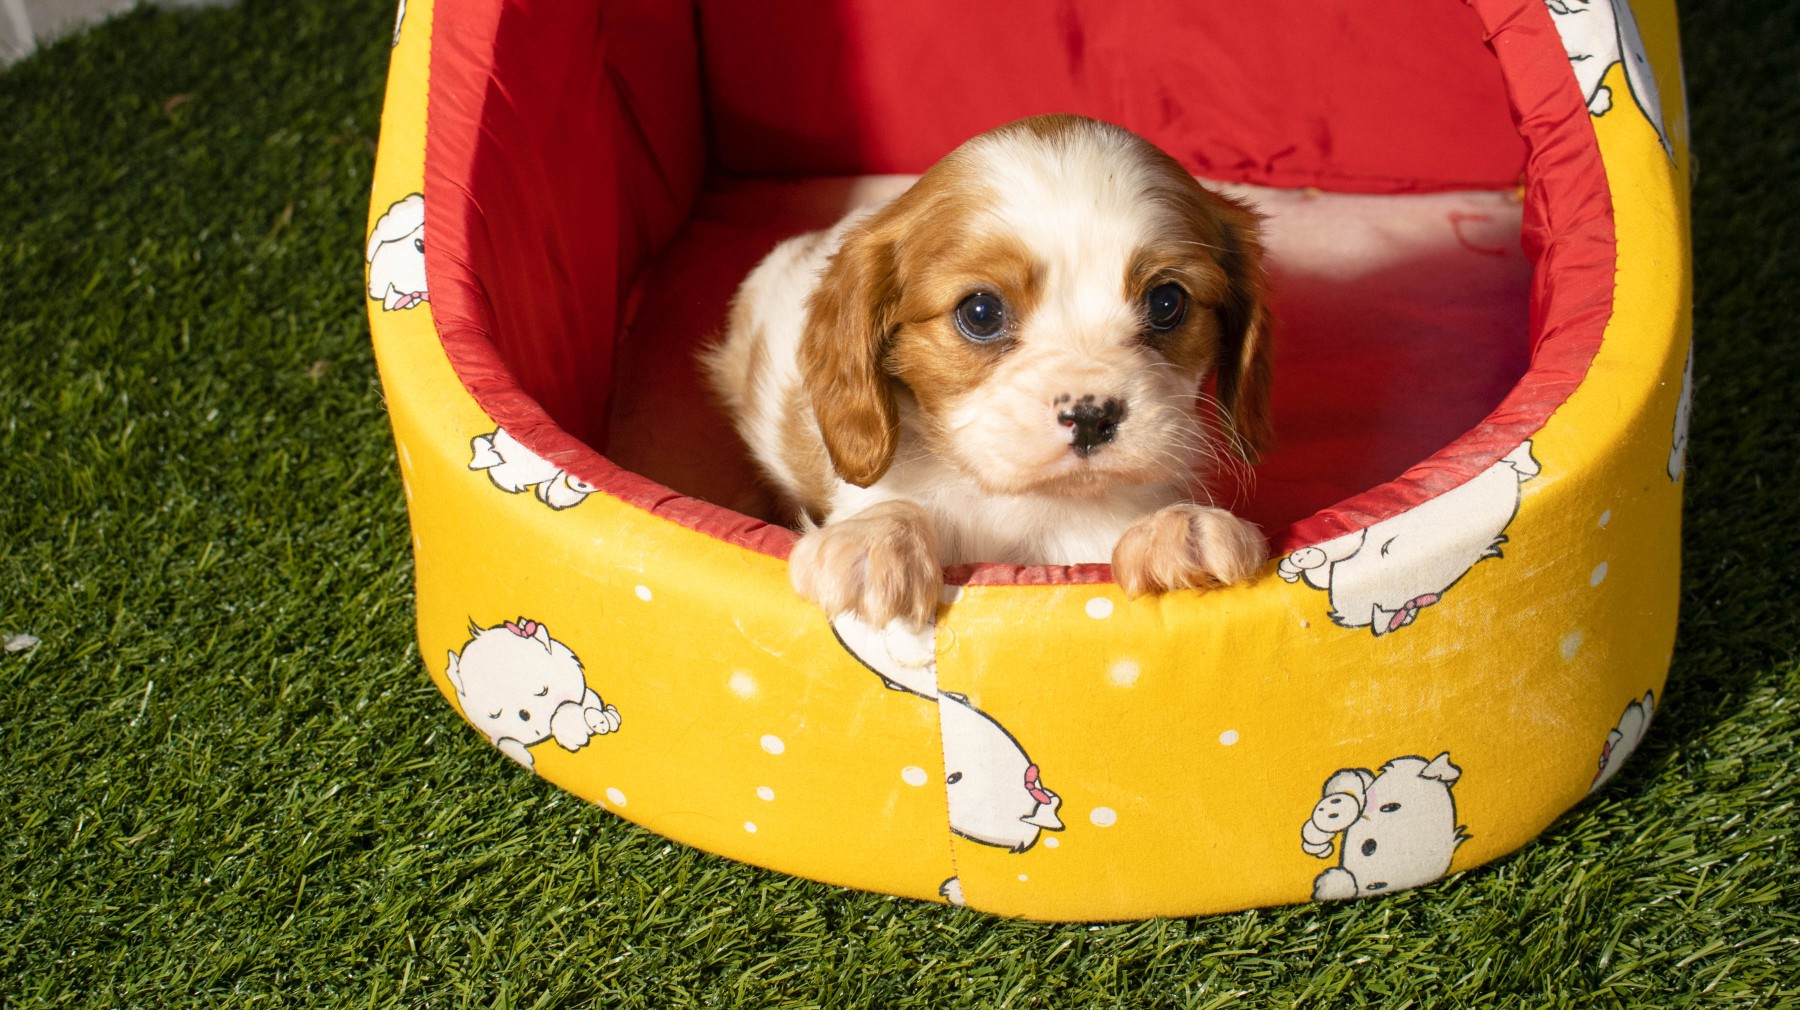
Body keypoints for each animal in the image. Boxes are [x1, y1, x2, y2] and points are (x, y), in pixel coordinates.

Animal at [704, 115, 1272, 628]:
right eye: (980, 312)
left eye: (1167, 301)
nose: (1091, 416)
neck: (1027, 501)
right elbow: (892, 504)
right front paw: (875, 540)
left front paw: (1178, 530)